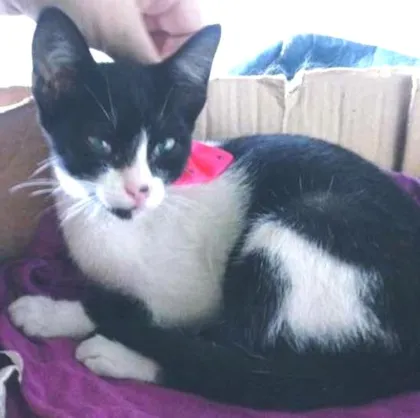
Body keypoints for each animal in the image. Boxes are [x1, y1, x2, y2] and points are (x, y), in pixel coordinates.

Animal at [8, 7, 420, 412]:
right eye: (98, 142)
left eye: (165, 145)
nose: (139, 190)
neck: (118, 226)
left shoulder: (195, 296)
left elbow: (135, 311)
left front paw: (49, 313)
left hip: (306, 223)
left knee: (239, 369)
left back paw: (119, 355)